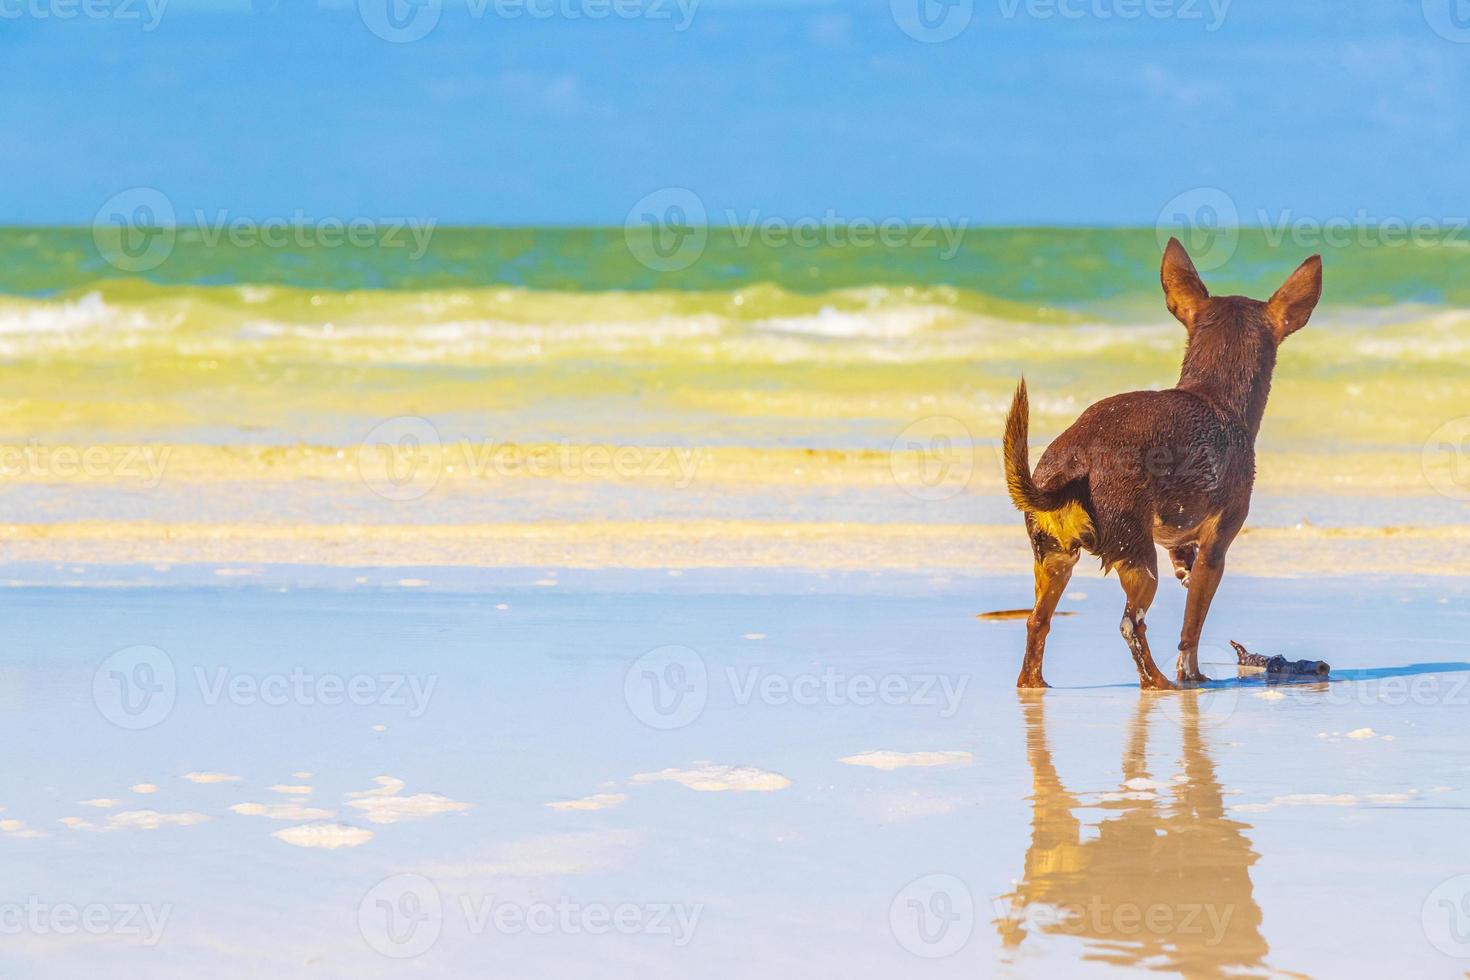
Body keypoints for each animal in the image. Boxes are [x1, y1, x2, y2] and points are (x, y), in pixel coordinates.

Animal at [999, 239, 1323, 690]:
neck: (1213, 394)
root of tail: (1076, 459)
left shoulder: (1181, 547)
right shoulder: (1216, 548)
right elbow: (1192, 626)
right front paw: (1193, 676)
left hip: (1053, 559)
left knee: (1037, 622)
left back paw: (1035, 682)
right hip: (1137, 560)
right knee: (1130, 625)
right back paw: (1158, 682)